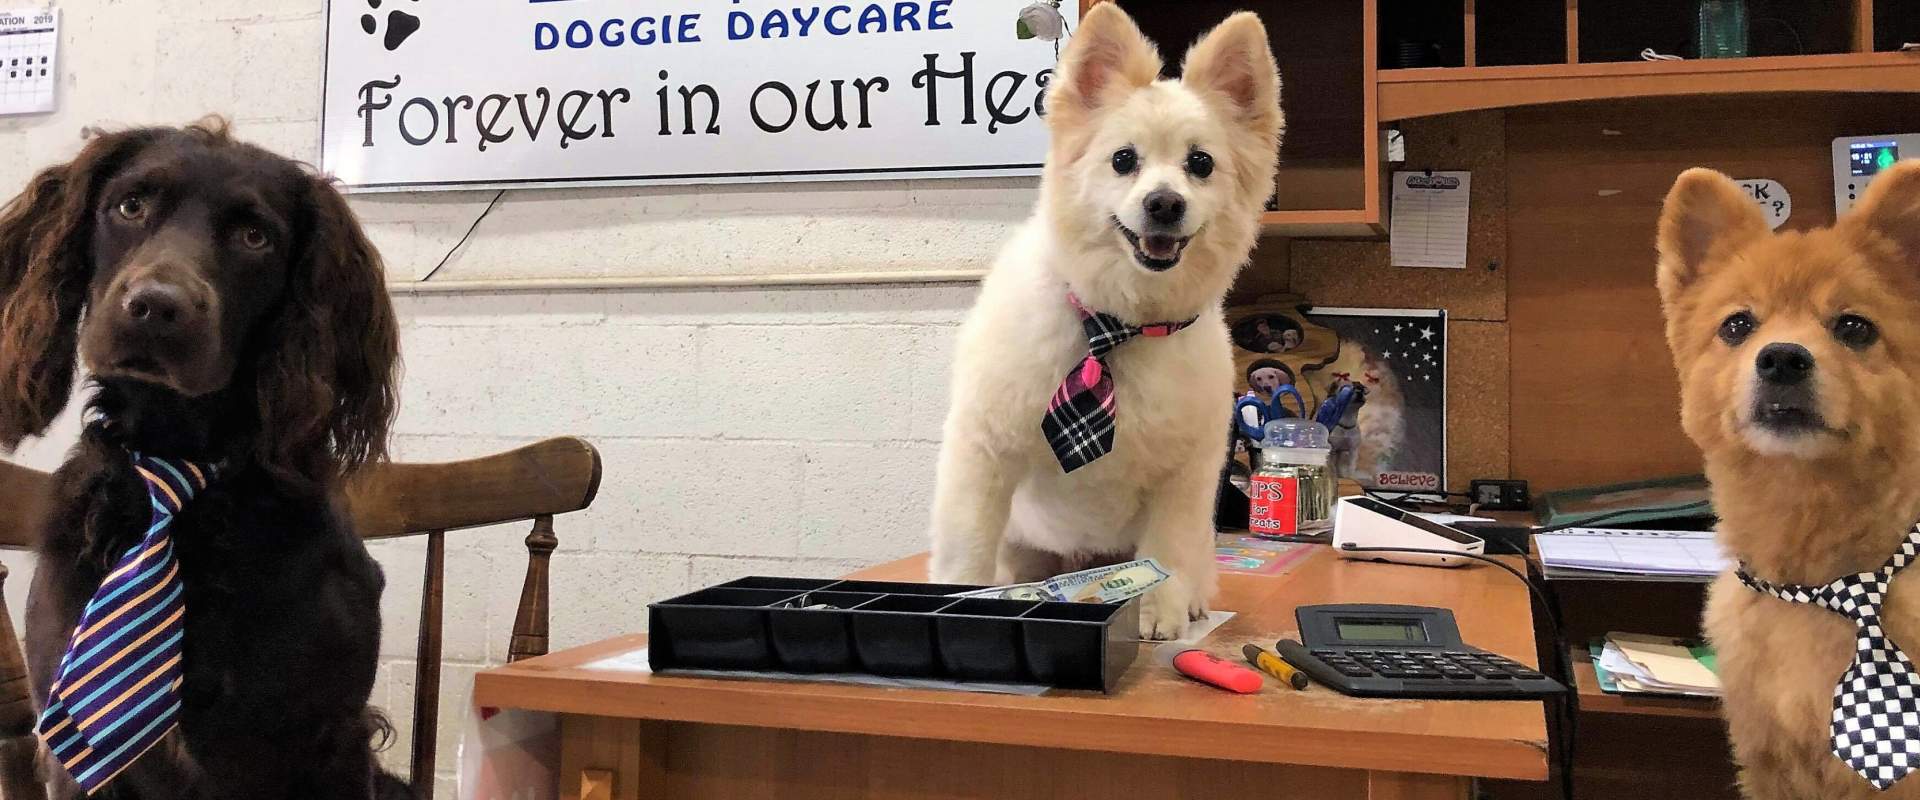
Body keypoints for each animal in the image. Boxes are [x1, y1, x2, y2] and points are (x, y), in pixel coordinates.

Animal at [925, 1, 1282, 636]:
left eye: (1200, 163)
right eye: (1123, 160)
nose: (1164, 203)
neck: (1117, 321)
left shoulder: (1184, 474)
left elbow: (1166, 549)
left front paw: (1160, 612)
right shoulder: (984, 452)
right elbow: (965, 550)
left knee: (1193, 560)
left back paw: (1192, 600)